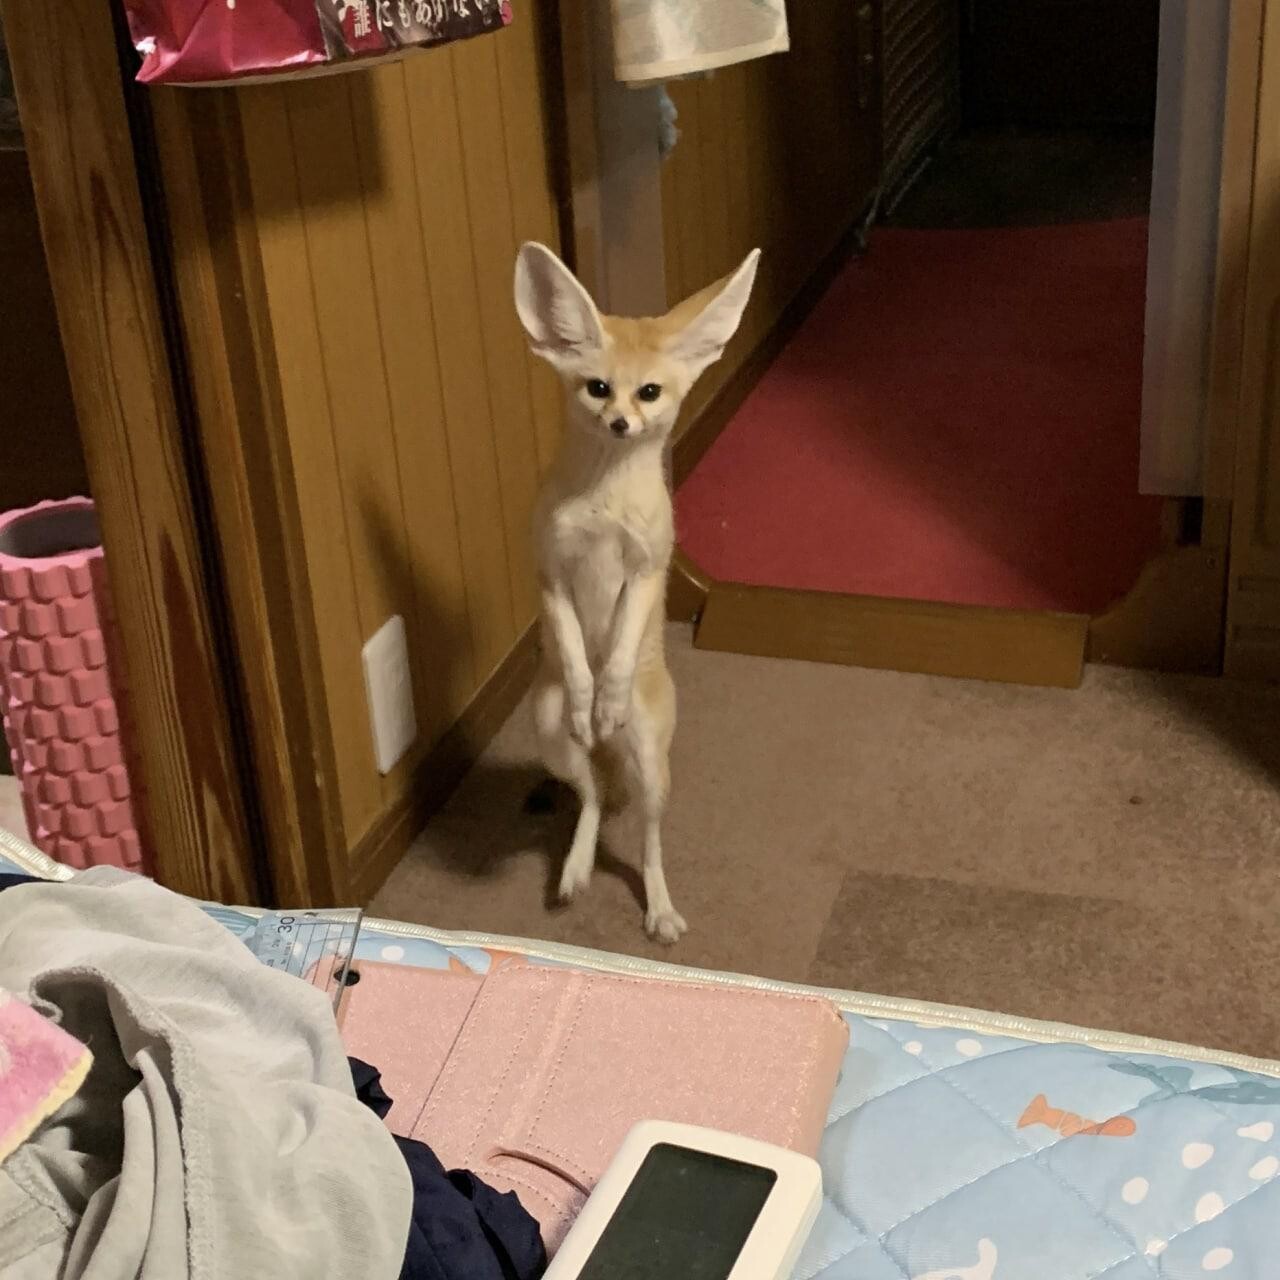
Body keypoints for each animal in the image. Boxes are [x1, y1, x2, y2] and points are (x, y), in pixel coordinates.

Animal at [513, 241, 761, 942]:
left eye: (649, 392)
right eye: (598, 388)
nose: (621, 422)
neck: (604, 501)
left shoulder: (649, 570)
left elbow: (619, 649)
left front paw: (609, 694)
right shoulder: (550, 572)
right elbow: (577, 654)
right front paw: (588, 695)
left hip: (653, 764)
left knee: (648, 839)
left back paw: (659, 907)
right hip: (550, 735)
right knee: (592, 799)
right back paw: (574, 867)